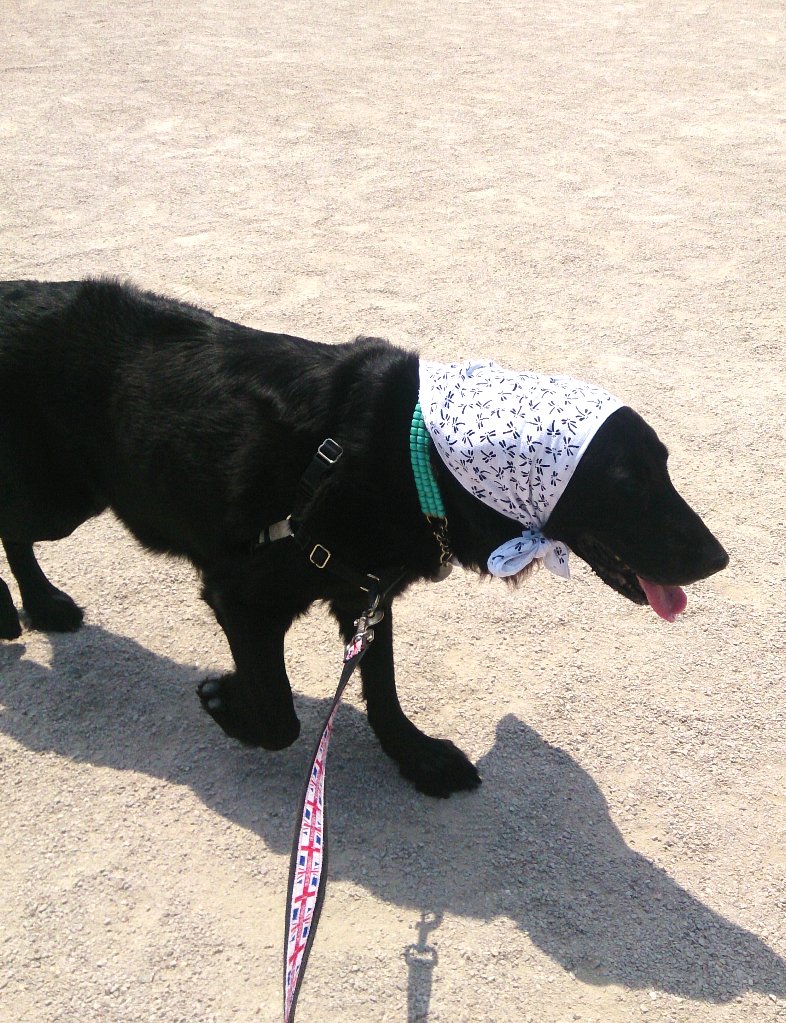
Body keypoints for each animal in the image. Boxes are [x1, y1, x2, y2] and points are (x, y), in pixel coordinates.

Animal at [0, 278, 728, 797]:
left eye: (665, 467)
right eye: (628, 484)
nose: (720, 559)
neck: (415, 455)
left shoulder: (367, 591)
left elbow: (381, 687)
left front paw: (416, 756)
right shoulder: (242, 595)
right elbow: (281, 715)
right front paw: (229, 703)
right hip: (62, 497)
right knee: (10, 524)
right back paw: (27, 607)